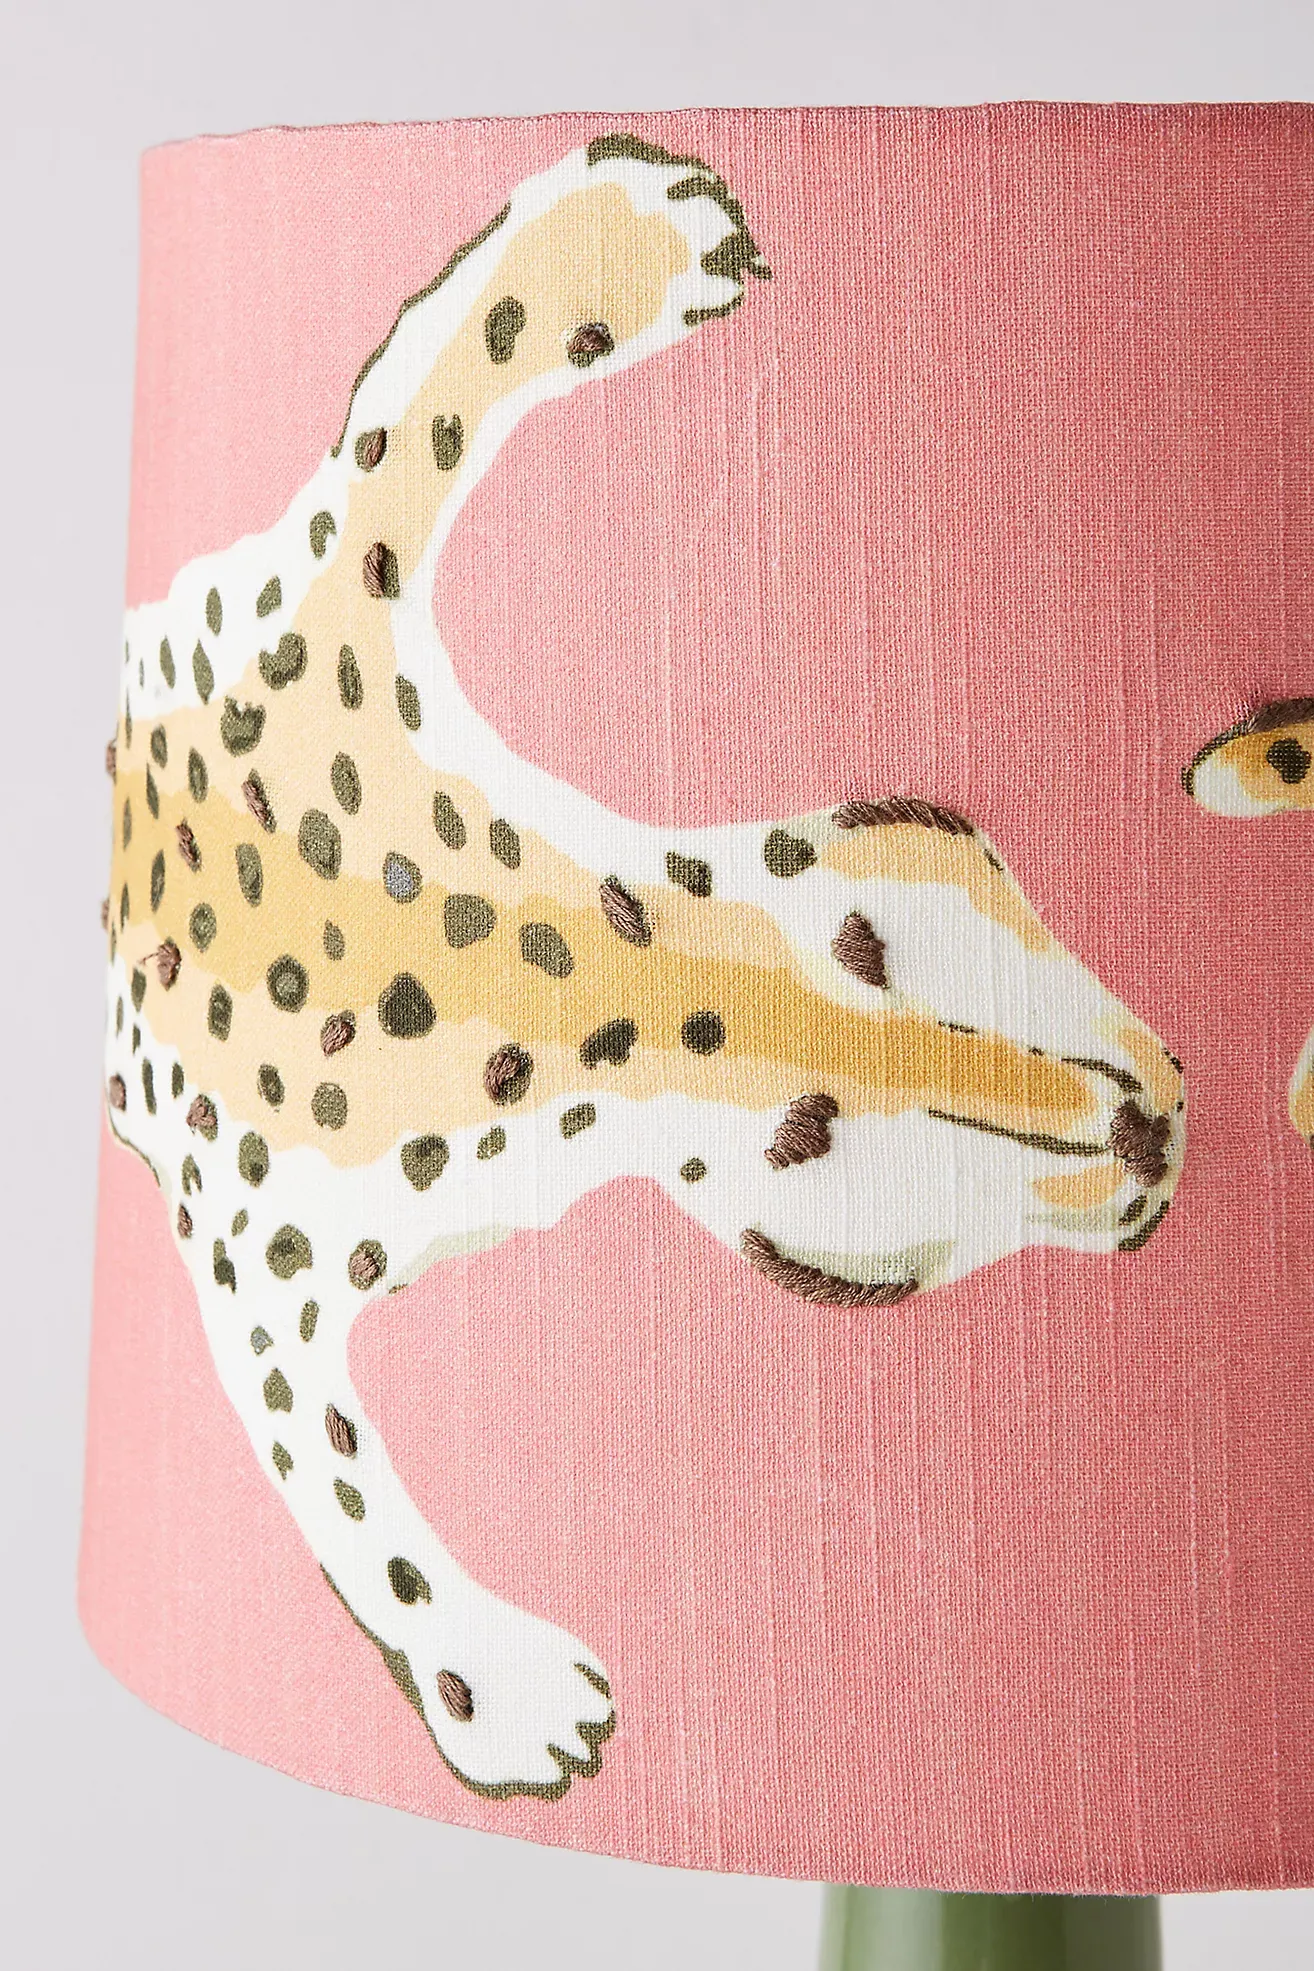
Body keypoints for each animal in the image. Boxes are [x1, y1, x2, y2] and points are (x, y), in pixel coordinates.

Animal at [101, 132, 1186, 1801]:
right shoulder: (252, 1269)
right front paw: (495, 1683)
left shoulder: (326, 613)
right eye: (841, 1269)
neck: (605, 982)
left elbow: (410, 415)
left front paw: (616, 229)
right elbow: (336, 1486)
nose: (1158, 1124)